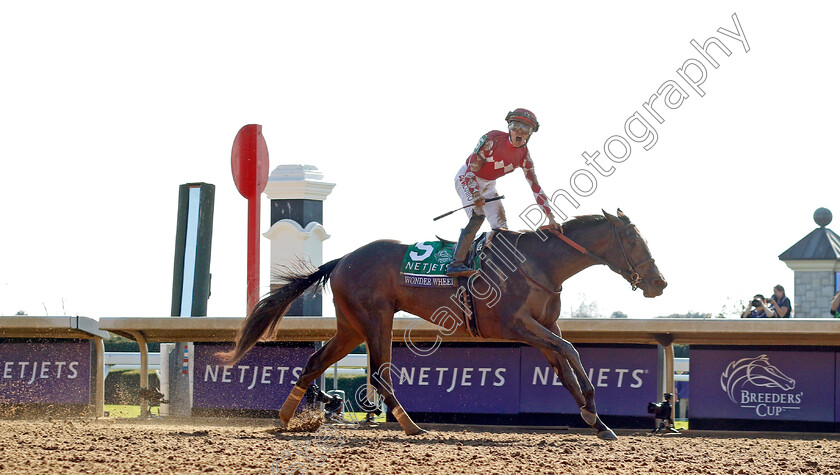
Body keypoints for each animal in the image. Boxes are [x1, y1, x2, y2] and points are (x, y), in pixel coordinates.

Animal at [220, 210, 668, 440]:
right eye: (633, 240)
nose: (659, 283)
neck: (538, 263)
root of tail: (342, 259)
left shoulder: (545, 328)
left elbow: (564, 362)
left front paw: (598, 421)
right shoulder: (516, 326)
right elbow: (571, 352)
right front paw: (594, 408)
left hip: (351, 327)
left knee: (316, 361)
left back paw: (285, 417)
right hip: (376, 319)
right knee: (380, 375)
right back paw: (410, 425)